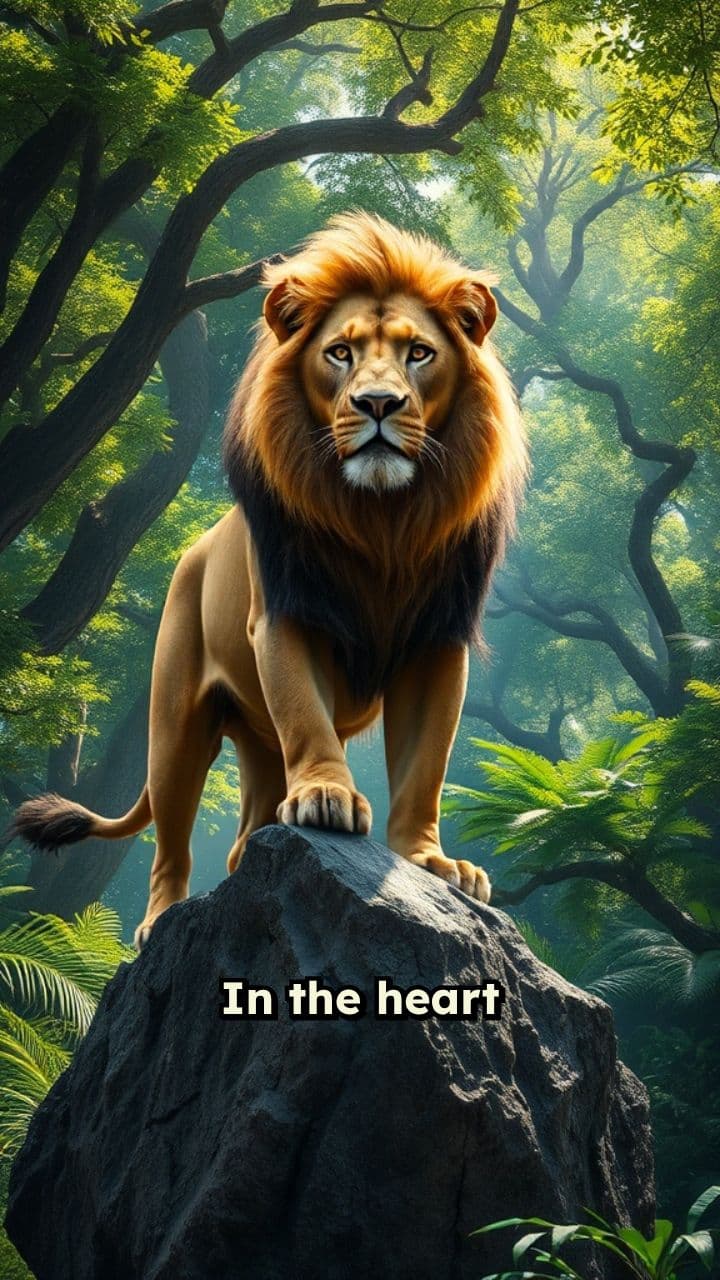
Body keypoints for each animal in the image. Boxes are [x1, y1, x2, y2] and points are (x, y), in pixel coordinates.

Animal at [13, 212, 527, 951]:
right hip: (175, 727)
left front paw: (430, 860)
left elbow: (425, 764)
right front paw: (326, 798)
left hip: (256, 746)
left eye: (419, 354)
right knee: (171, 843)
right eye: (339, 353)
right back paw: (161, 923)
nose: (377, 403)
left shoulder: (438, 638)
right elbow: (308, 716)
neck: (383, 520)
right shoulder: (287, 614)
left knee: (241, 844)